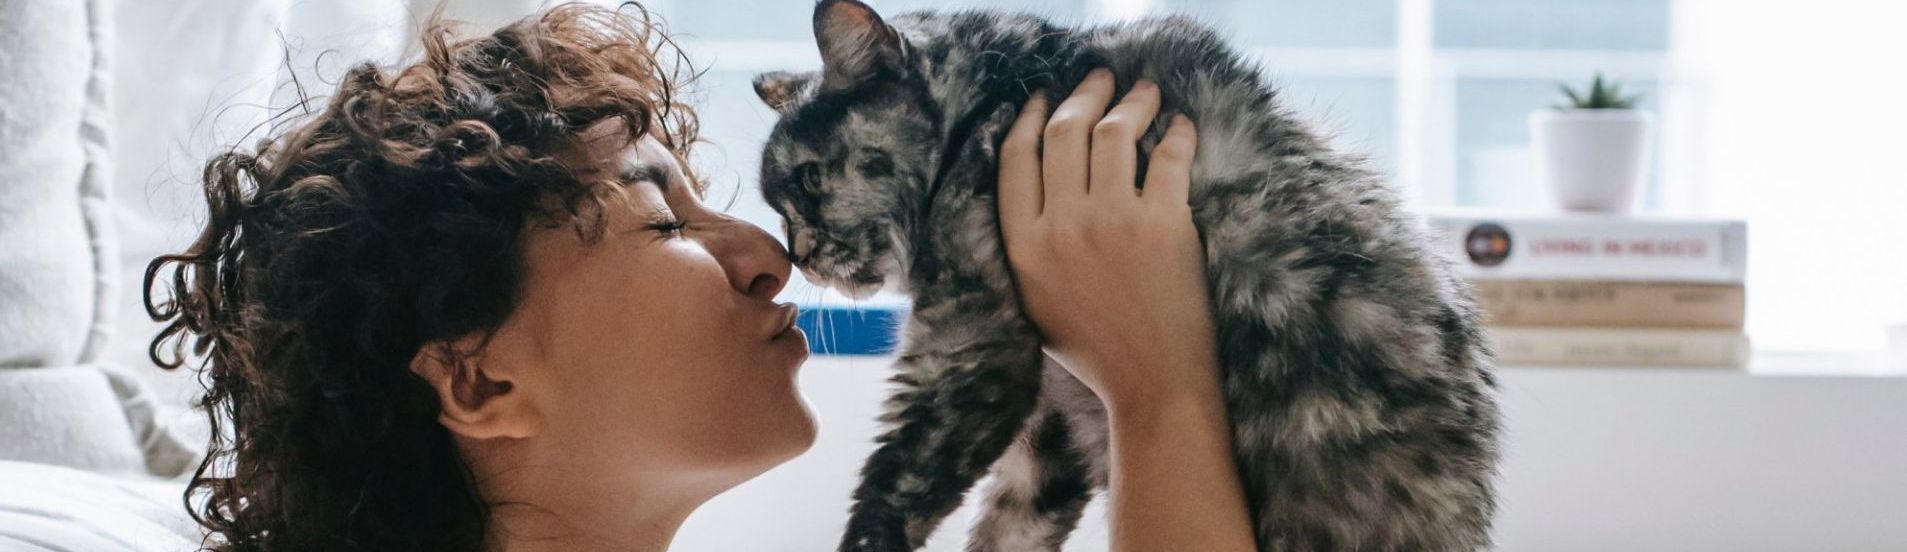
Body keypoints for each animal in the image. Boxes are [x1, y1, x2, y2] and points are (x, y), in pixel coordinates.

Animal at [751, 2, 1495, 546]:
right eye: (780, 208)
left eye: (809, 180)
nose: (799, 254)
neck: (997, 95)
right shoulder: (1052, 419)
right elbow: (1012, 523)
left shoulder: (975, 346)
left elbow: (896, 483)